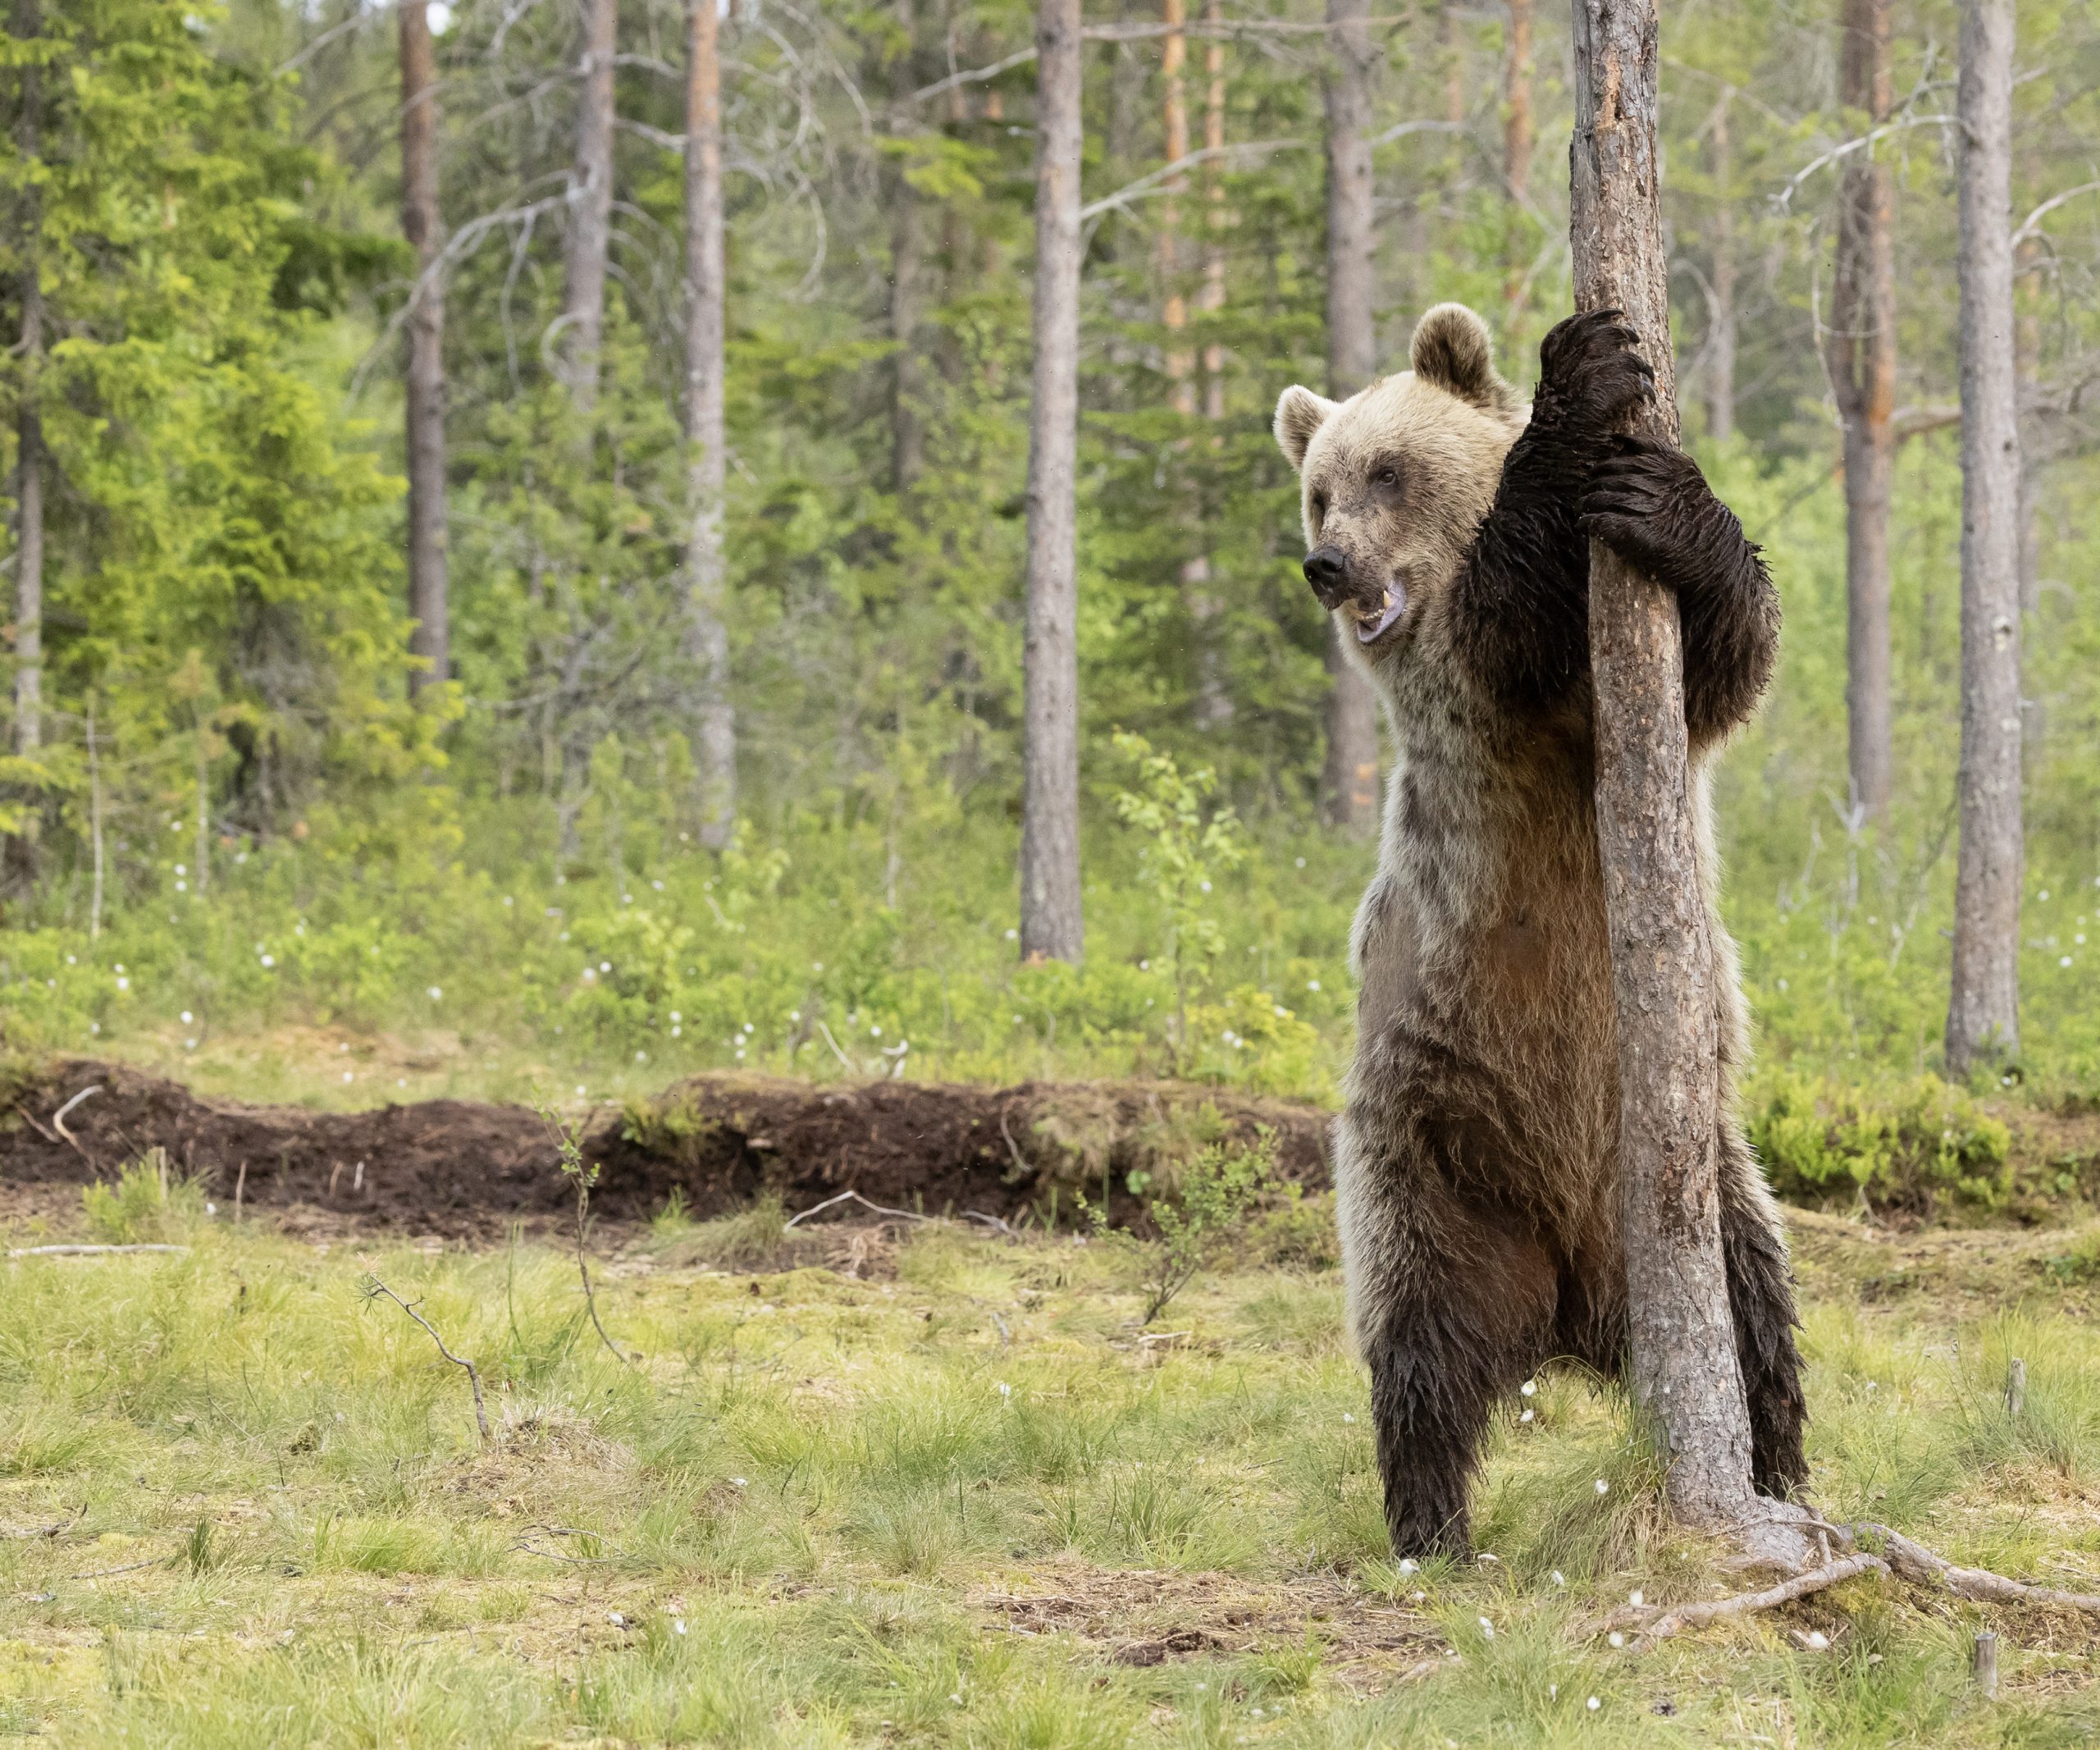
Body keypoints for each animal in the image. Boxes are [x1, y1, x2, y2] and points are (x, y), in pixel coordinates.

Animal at [1272, 304, 1807, 1559]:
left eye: (1385, 470)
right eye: (1320, 492)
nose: (1328, 565)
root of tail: (1568, 1304)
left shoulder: (1642, 713)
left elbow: (1731, 653)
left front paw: (1657, 494)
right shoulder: (1474, 693)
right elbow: (1503, 612)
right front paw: (1582, 368)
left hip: (1702, 1185)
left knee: (1758, 1317)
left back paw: (1781, 1471)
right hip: (1428, 1154)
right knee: (1419, 1347)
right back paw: (1431, 1527)